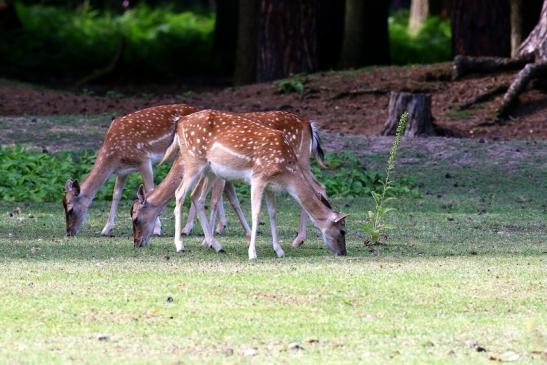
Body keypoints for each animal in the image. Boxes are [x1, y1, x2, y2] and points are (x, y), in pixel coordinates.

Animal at [63, 104, 198, 237]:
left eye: (70, 209)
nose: (69, 232)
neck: (113, 156)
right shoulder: (122, 171)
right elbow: (116, 194)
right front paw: (106, 229)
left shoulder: (144, 159)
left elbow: (150, 190)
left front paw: (157, 229)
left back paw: (186, 229)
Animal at [132, 110, 330, 247]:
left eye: (136, 218)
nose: (137, 242)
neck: (181, 161)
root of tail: (309, 125)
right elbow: (231, 200)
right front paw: (242, 232)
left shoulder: (216, 174)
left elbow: (212, 200)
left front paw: (204, 237)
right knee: (319, 187)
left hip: (299, 161)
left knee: (315, 189)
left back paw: (300, 239)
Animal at [167, 109, 348, 260]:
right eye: (343, 231)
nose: (343, 252)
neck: (286, 173)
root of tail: (179, 121)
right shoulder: (258, 178)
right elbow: (256, 213)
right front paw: (252, 253)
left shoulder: (271, 186)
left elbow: (273, 213)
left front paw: (279, 250)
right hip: (194, 161)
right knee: (180, 193)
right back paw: (180, 245)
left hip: (210, 170)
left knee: (196, 197)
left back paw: (216, 245)